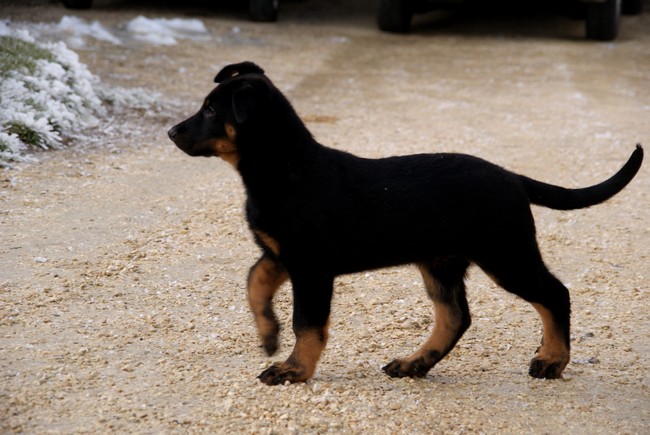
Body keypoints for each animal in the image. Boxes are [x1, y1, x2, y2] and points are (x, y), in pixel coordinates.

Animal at [168, 60, 644, 384]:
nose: (171, 132)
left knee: (553, 293)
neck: (283, 169)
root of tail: (512, 177)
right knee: (455, 317)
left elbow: (309, 323)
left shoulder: (311, 268)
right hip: (441, 262)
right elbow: (254, 282)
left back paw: (552, 360)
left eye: (210, 111)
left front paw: (294, 370)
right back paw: (415, 363)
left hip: (505, 252)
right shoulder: (282, 255)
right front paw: (269, 335)